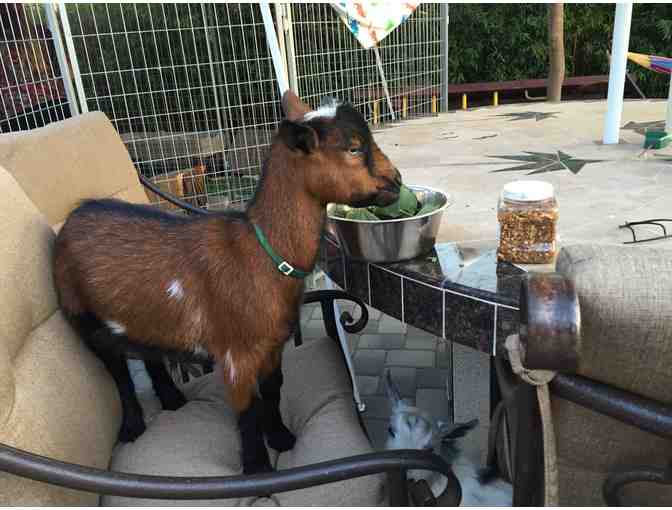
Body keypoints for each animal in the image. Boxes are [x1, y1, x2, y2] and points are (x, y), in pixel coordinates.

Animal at [53, 91, 403, 474]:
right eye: (353, 148)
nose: (397, 181)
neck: (259, 254)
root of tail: (75, 216)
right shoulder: (236, 355)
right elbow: (247, 412)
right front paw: (258, 469)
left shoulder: (273, 346)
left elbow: (274, 391)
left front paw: (281, 438)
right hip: (81, 315)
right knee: (117, 371)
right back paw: (133, 426)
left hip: (137, 316)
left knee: (146, 352)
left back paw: (172, 400)